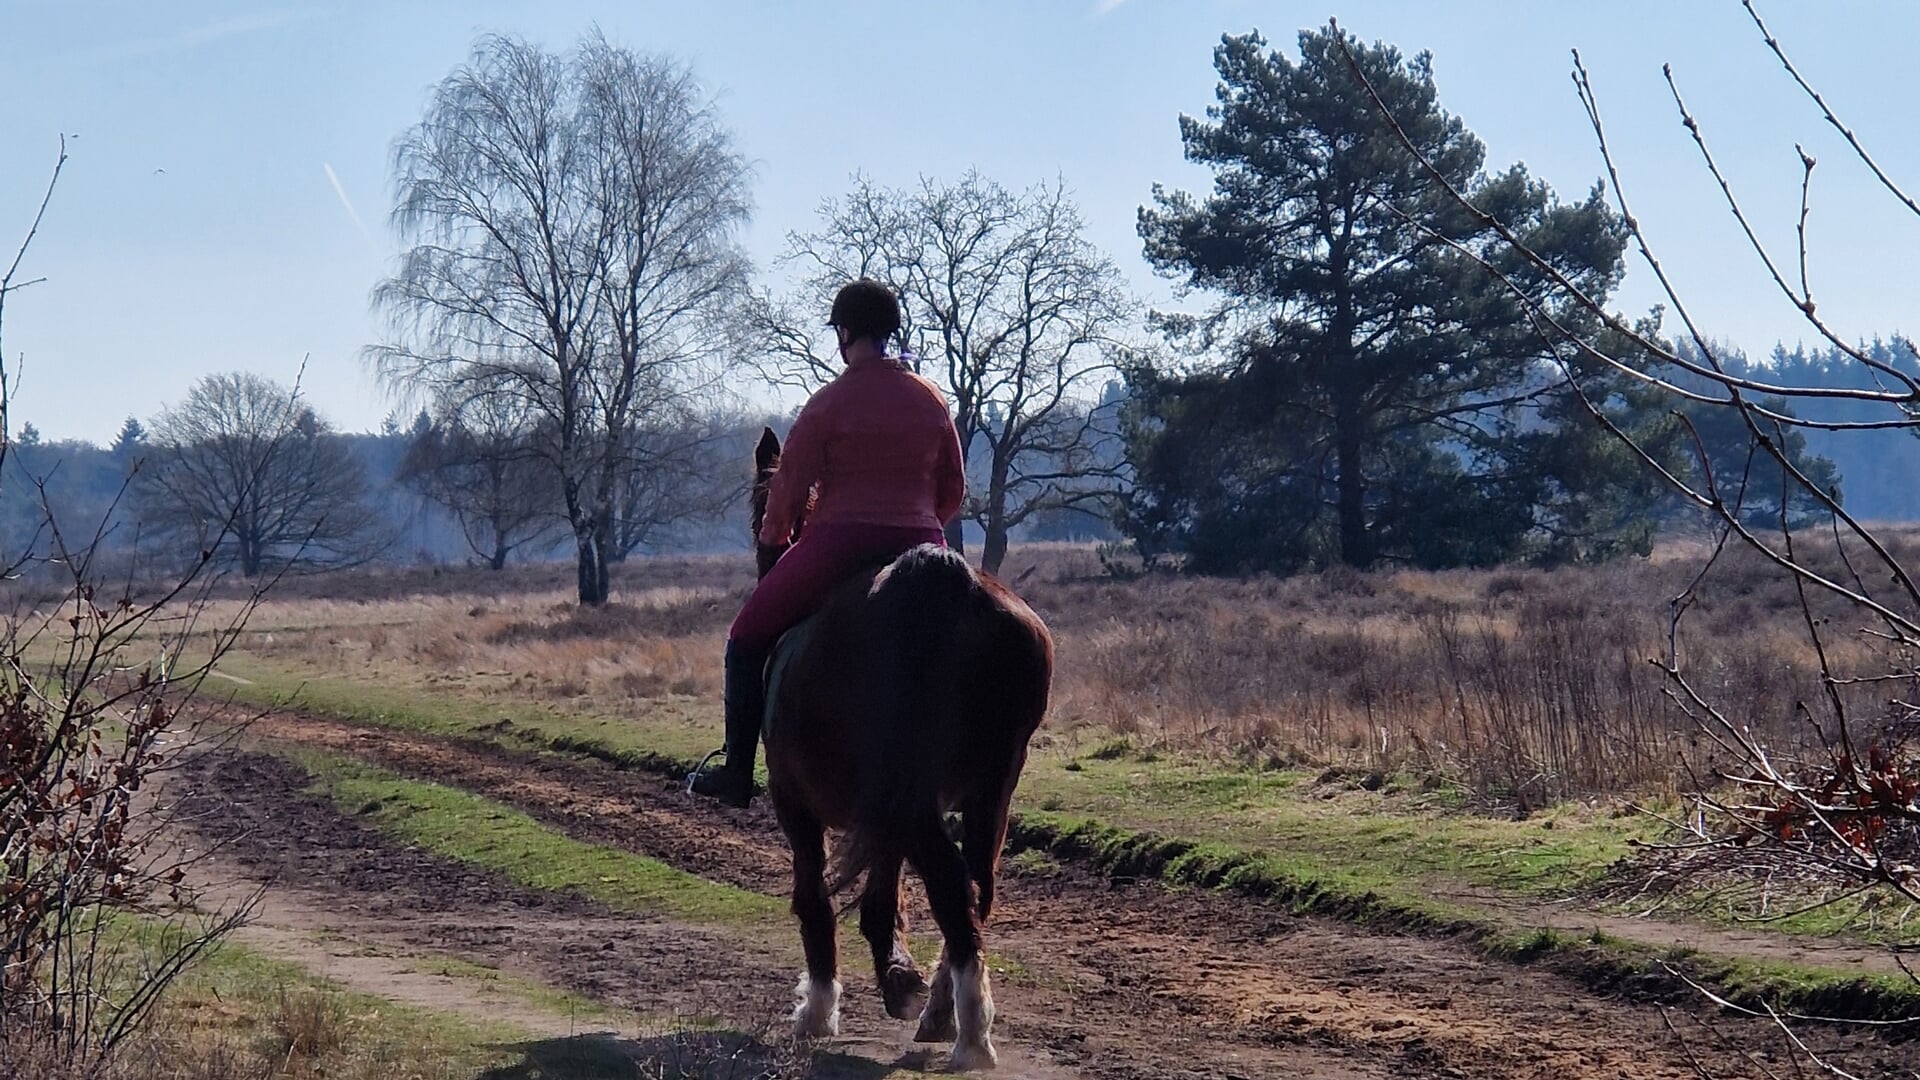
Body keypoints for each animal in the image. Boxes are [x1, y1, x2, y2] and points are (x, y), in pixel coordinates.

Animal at [747, 428, 1053, 1071]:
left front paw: (818, 1011)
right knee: (974, 889)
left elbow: (814, 898)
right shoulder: (884, 810)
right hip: (988, 790)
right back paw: (944, 1011)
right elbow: (883, 897)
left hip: (909, 799)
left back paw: (970, 1037)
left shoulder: (795, 803)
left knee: (952, 889)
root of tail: (940, 590)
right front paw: (897, 976)